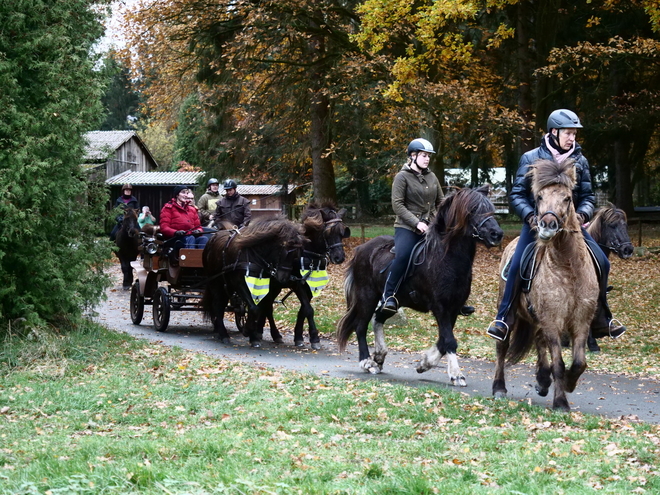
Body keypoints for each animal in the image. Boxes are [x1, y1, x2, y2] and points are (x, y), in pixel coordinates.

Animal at [201, 217, 304, 348]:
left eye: (296, 254)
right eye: (285, 249)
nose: (284, 278)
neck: (254, 255)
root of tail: (212, 238)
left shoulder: (262, 286)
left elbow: (257, 308)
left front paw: (253, 336)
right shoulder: (239, 284)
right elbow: (254, 308)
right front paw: (247, 330)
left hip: (226, 285)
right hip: (215, 282)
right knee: (217, 305)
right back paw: (223, 335)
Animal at [258, 202, 350, 348]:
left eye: (342, 232)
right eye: (328, 232)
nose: (339, 257)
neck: (307, 254)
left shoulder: (310, 286)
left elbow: (303, 310)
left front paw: (299, 337)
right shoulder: (298, 284)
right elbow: (309, 309)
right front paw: (315, 338)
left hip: (276, 285)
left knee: (266, 305)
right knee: (267, 306)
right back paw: (272, 333)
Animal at [338, 186, 502, 388]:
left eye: (491, 209)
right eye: (472, 211)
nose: (497, 234)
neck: (445, 257)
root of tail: (361, 249)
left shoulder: (454, 308)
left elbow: (443, 341)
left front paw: (425, 364)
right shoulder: (440, 307)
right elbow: (449, 340)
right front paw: (457, 375)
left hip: (394, 301)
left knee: (378, 318)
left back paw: (380, 355)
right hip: (367, 296)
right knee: (361, 326)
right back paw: (367, 363)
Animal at [490, 159, 604, 410]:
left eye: (567, 198)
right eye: (539, 196)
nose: (547, 225)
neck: (568, 267)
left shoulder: (580, 321)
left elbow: (579, 362)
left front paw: (569, 383)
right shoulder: (553, 320)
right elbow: (558, 363)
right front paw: (561, 402)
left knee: (539, 341)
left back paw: (542, 381)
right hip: (509, 311)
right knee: (502, 346)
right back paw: (499, 387)